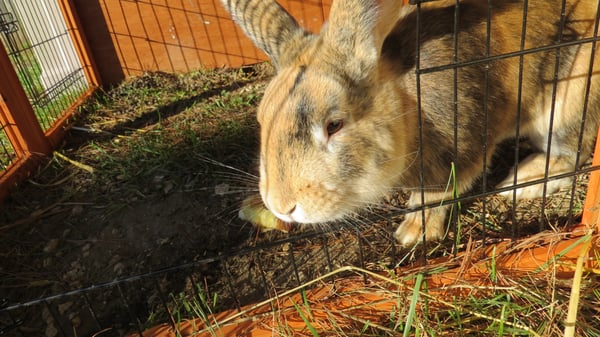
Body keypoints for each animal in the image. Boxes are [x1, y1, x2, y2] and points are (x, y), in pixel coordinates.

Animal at [221, 0, 600, 247]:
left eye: (334, 125)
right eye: (261, 119)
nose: (280, 205)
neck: (407, 106)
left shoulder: (458, 156)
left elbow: (435, 197)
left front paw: (412, 233)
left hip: (568, 102)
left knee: (572, 153)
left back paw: (520, 182)